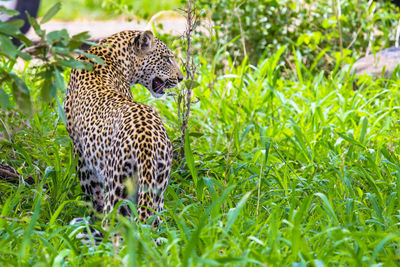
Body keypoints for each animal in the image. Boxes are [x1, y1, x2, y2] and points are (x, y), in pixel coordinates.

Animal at [65, 29, 184, 230]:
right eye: (167, 59)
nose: (181, 78)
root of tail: (146, 143)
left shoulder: (82, 156)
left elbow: (92, 199)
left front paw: (92, 220)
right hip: (158, 186)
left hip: (117, 188)